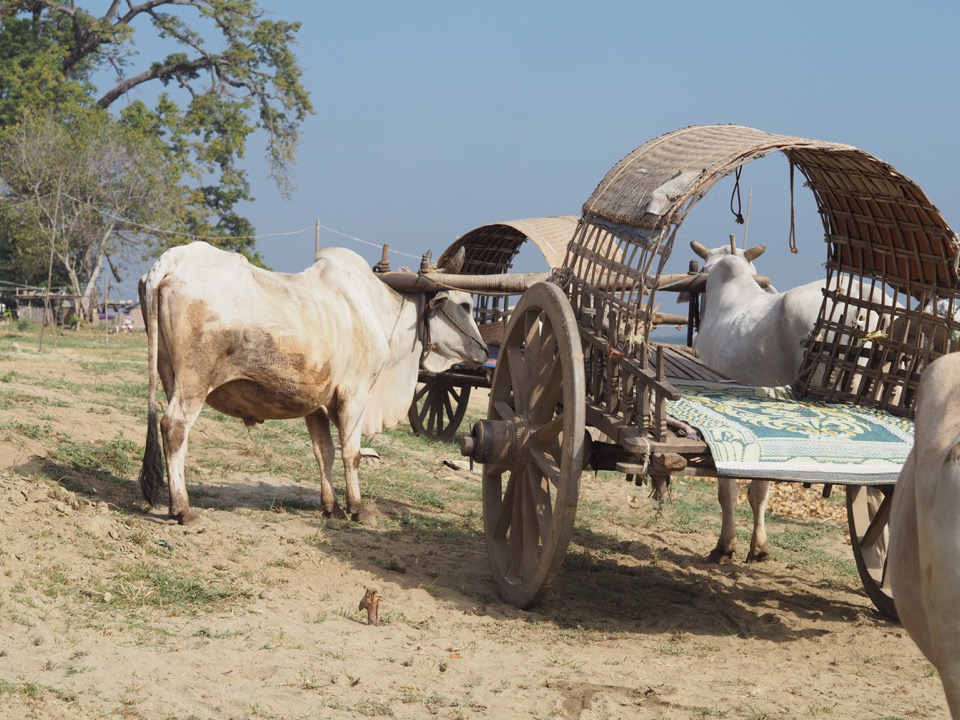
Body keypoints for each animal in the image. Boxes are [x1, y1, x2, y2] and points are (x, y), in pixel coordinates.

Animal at [139, 242, 492, 524]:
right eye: (465, 305)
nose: (485, 350)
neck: (377, 310)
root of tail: (171, 260)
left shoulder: (317, 406)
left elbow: (324, 453)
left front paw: (330, 507)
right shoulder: (355, 395)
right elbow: (351, 453)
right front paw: (358, 509)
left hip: (169, 375)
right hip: (194, 382)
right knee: (174, 427)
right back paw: (183, 509)